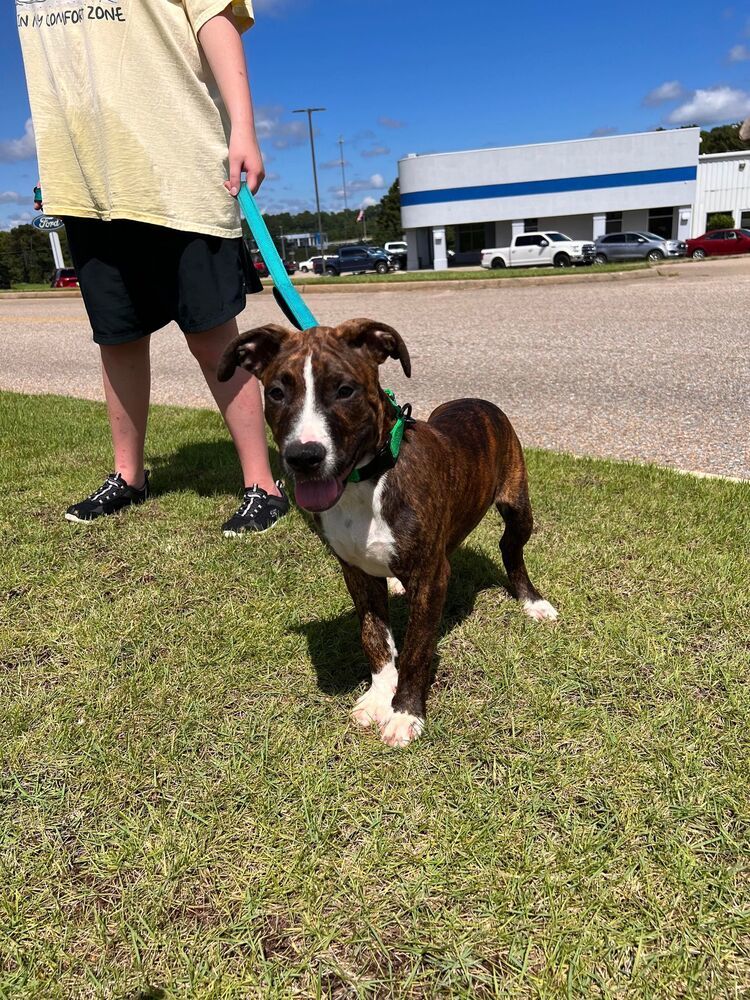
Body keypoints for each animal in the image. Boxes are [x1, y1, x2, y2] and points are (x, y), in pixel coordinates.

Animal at [217, 316, 560, 748]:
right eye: (277, 393)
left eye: (345, 390)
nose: (303, 457)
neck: (366, 482)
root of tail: (478, 401)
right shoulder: (355, 572)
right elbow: (374, 636)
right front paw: (380, 695)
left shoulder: (431, 577)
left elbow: (415, 648)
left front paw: (404, 712)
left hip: (518, 509)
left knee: (512, 551)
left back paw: (533, 602)